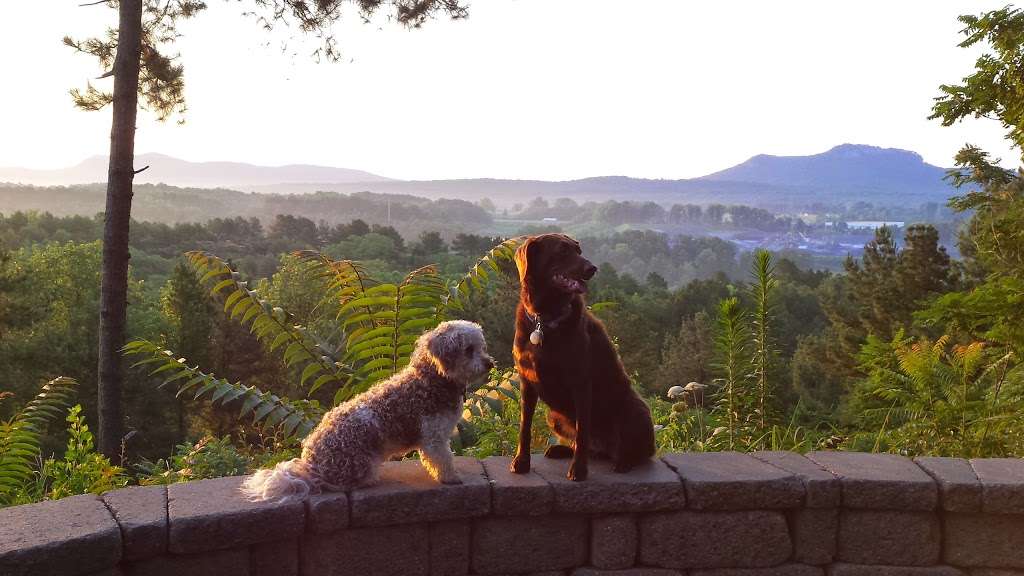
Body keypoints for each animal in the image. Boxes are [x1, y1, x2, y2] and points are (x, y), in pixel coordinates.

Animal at [509, 230, 655, 477]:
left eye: (579, 251)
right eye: (562, 250)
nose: (592, 268)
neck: (544, 319)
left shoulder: (581, 383)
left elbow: (582, 432)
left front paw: (578, 470)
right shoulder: (527, 382)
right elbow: (524, 427)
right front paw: (521, 462)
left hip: (635, 412)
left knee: (638, 452)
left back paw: (624, 462)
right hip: (554, 417)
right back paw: (560, 450)